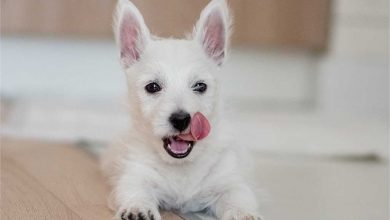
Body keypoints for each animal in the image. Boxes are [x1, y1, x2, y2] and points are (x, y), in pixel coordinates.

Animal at [100, 0, 260, 220]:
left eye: (200, 86)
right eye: (152, 87)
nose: (181, 119)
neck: (182, 166)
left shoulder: (230, 181)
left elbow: (237, 197)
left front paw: (242, 213)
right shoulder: (135, 175)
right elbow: (136, 191)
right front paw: (138, 209)